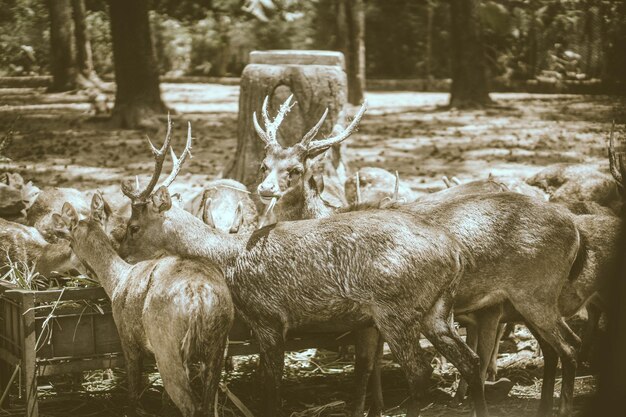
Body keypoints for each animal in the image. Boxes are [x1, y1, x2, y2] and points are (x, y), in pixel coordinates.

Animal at [116, 119, 492, 416]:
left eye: (133, 226)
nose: (120, 251)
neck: (229, 259)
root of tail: (455, 253)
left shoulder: (268, 316)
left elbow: (271, 387)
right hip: (436, 308)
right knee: (471, 361)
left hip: (395, 308)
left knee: (420, 372)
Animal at [251, 96, 584, 414]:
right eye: (264, 164)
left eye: (295, 170)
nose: (265, 189)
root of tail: (575, 230)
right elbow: (369, 366)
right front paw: (374, 407)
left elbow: (367, 367)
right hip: (525, 299)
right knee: (552, 348)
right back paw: (542, 404)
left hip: (536, 291)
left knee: (569, 346)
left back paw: (560, 405)